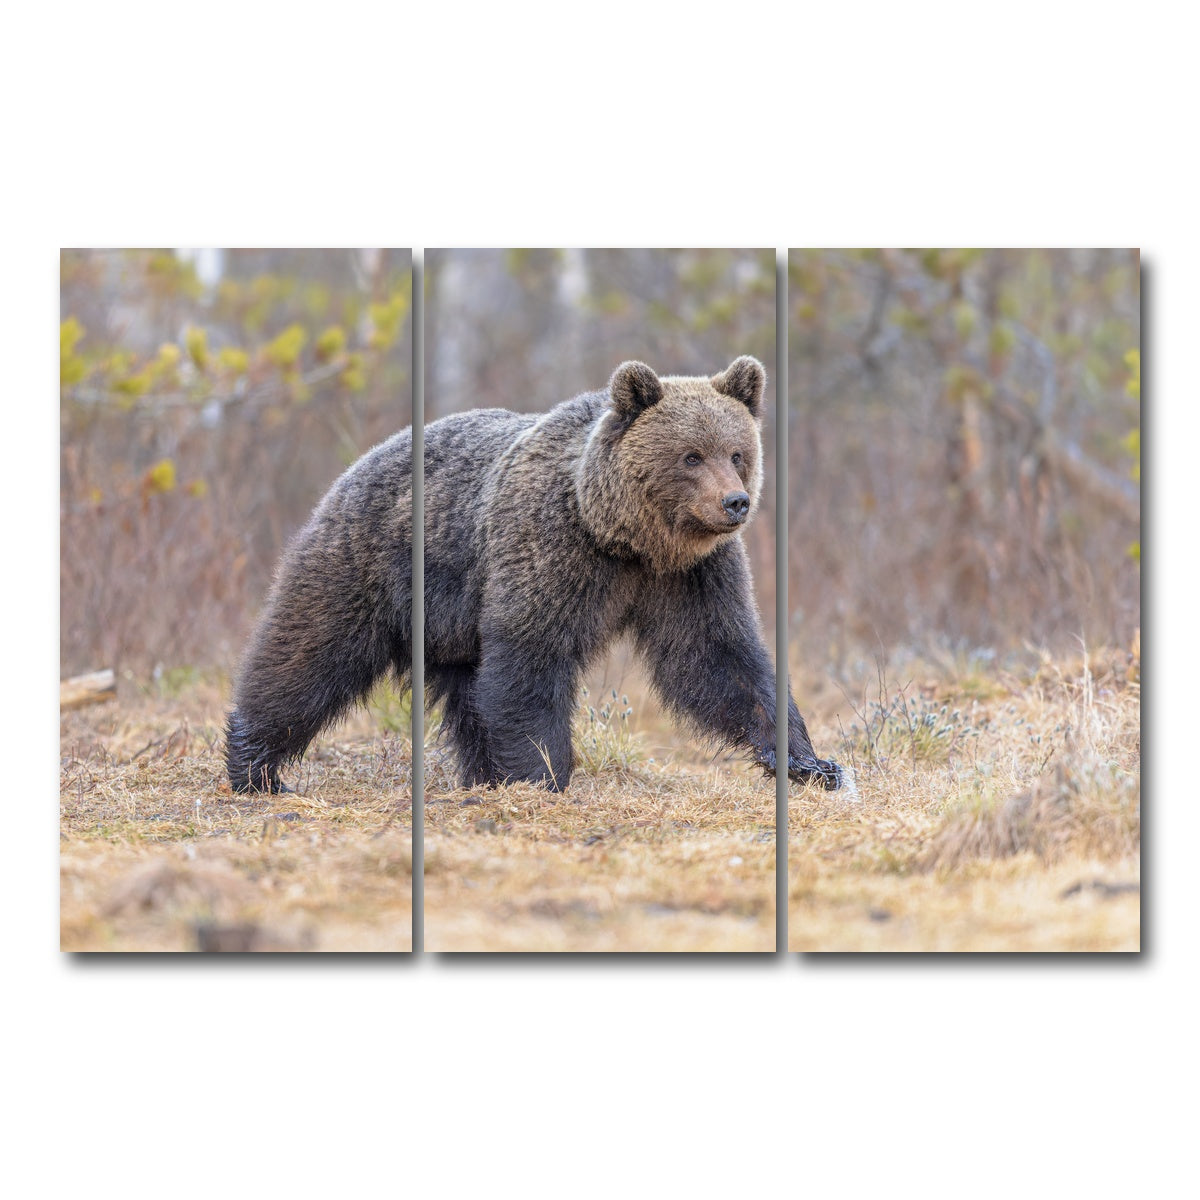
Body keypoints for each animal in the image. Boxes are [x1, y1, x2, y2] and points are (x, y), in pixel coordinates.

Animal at [225, 355, 842, 795]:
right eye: (691, 455)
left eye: (737, 452)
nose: (735, 503)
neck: (626, 538)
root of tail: (361, 461)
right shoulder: (552, 549)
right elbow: (532, 655)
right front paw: (544, 774)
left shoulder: (692, 574)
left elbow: (720, 657)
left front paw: (810, 762)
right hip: (371, 563)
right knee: (308, 654)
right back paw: (256, 766)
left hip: (452, 623)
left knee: (468, 693)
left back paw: (481, 776)